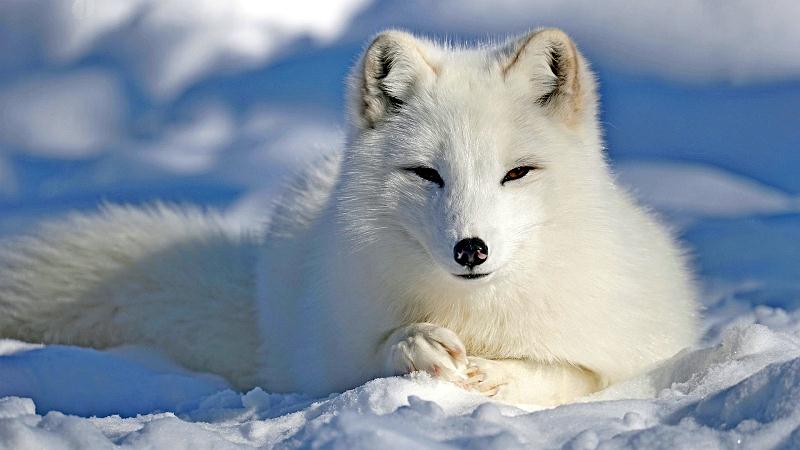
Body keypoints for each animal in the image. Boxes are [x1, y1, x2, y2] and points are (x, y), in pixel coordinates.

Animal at [0, 28, 700, 406]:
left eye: (517, 173)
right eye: (427, 173)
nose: (471, 249)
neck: (476, 314)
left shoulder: (631, 353)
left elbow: (568, 374)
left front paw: (498, 374)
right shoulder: (336, 356)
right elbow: (377, 351)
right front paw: (418, 346)